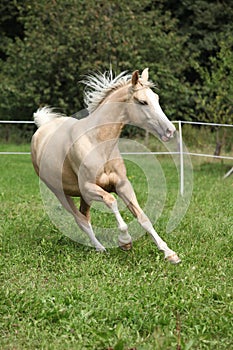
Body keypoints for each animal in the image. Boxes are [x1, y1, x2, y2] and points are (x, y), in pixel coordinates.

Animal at [31, 68, 181, 264]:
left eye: (156, 98)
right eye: (142, 102)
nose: (170, 131)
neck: (97, 142)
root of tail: (42, 128)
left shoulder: (122, 185)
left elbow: (143, 218)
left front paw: (169, 253)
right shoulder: (89, 188)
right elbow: (112, 201)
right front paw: (125, 241)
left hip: (83, 197)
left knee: (84, 216)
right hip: (61, 193)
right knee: (81, 220)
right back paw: (100, 248)